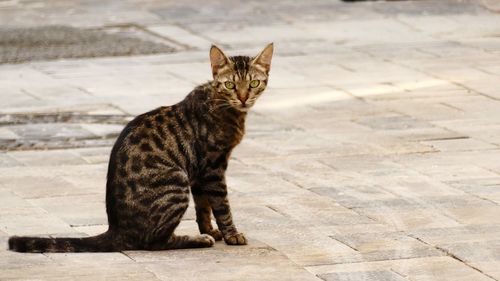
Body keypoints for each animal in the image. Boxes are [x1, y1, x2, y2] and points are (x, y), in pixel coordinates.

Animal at [6, 43, 274, 252]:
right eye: (230, 85)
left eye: (254, 83)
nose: (243, 98)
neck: (224, 106)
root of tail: (116, 229)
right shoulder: (213, 167)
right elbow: (221, 205)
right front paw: (231, 234)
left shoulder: (200, 172)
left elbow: (203, 206)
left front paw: (212, 229)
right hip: (176, 182)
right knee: (154, 242)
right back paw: (197, 240)